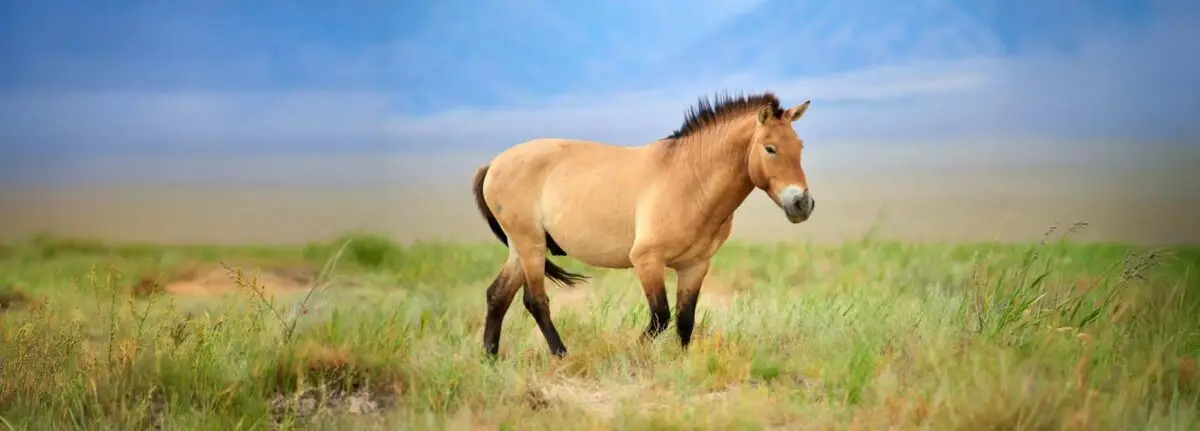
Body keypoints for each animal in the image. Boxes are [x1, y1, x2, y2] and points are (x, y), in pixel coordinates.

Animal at [470, 91, 815, 358]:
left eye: (800, 147)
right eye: (770, 148)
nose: (802, 203)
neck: (690, 180)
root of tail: (493, 164)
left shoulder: (694, 266)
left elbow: (685, 320)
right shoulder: (647, 260)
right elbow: (660, 317)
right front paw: (630, 354)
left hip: (521, 248)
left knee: (497, 296)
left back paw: (490, 357)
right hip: (531, 245)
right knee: (535, 300)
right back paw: (561, 355)